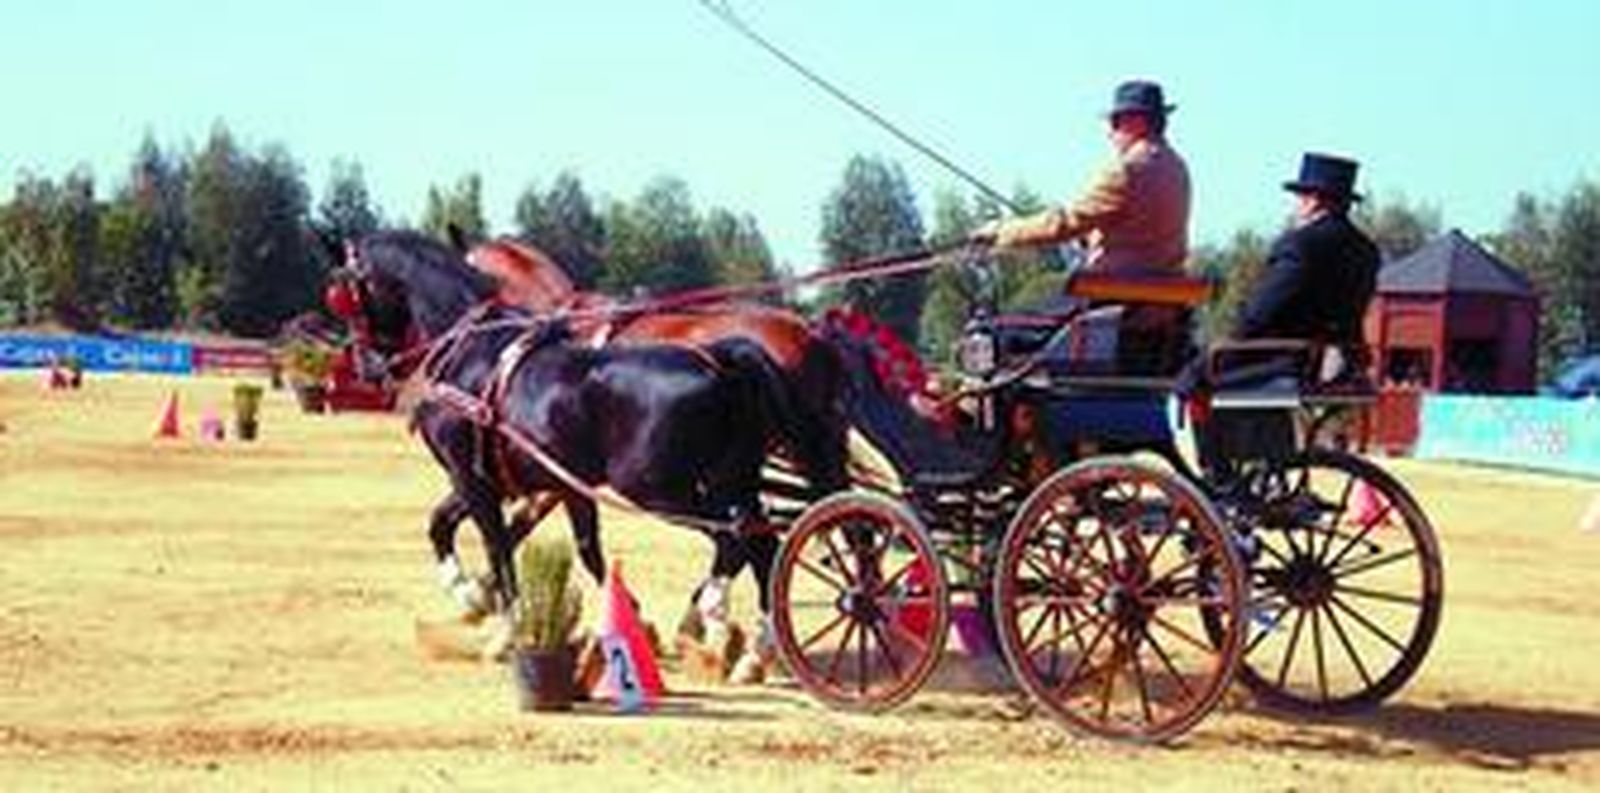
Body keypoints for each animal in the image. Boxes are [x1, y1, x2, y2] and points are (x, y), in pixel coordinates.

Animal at [334, 229, 841, 657]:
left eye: (342, 295)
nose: (365, 366)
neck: (475, 353)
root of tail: (721, 360)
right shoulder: (548, 483)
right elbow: (574, 548)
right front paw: (474, 597)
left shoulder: (473, 478)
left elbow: (498, 545)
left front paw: (501, 625)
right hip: (730, 481)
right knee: (762, 541)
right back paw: (759, 645)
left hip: (661, 490)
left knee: (734, 538)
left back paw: (714, 616)